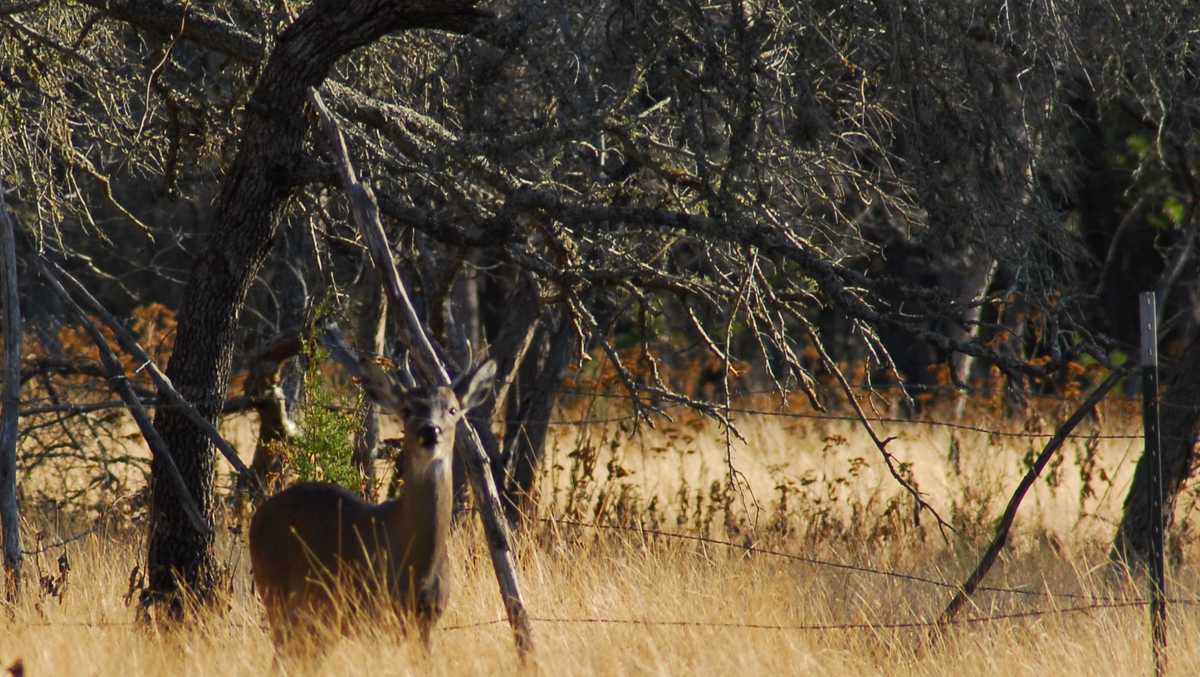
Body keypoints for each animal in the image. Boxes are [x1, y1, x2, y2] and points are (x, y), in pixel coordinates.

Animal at [248, 355, 496, 654]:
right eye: (407, 409)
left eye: (452, 409)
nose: (430, 431)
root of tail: (258, 516)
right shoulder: (373, 615)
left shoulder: (427, 621)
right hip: (277, 592)